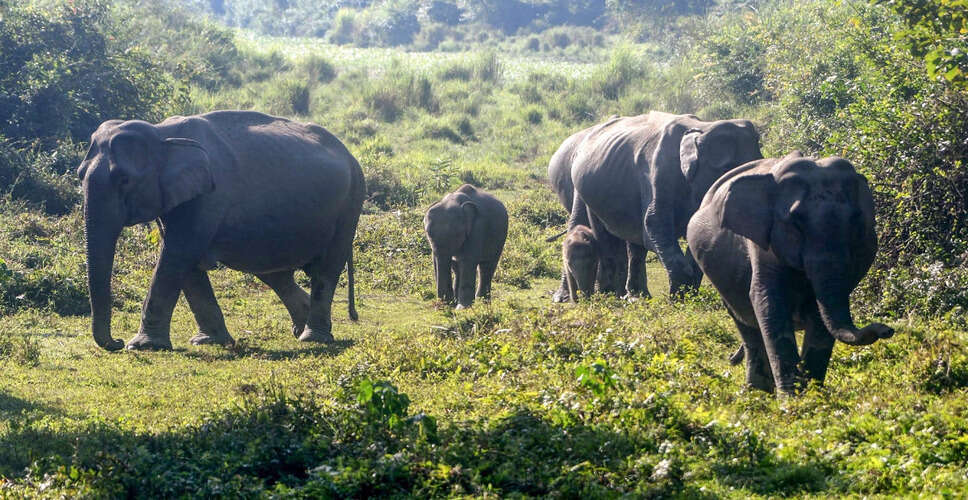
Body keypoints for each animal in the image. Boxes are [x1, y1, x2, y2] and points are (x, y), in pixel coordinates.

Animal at [77, 110, 365, 351]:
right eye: (79, 174)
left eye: (124, 180)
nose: (116, 341)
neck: (161, 133)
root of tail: (350, 155)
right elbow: (184, 261)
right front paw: (207, 341)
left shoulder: (208, 197)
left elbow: (177, 255)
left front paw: (142, 346)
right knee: (274, 273)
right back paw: (300, 328)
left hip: (350, 204)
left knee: (326, 268)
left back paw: (313, 337)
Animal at [559, 112, 762, 299]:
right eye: (728, 171)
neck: (702, 128)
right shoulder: (658, 171)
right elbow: (654, 225)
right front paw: (679, 299)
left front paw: (687, 296)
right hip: (587, 193)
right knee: (604, 238)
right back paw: (607, 296)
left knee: (634, 244)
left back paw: (636, 296)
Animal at [686, 152, 894, 394]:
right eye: (796, 220)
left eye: (855, 219)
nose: (886, 330)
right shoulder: (762, 244)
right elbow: (769, 302)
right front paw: (793, 399)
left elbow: (818, 312)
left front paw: (813, 395)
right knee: (746, 324)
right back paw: (757, 391)